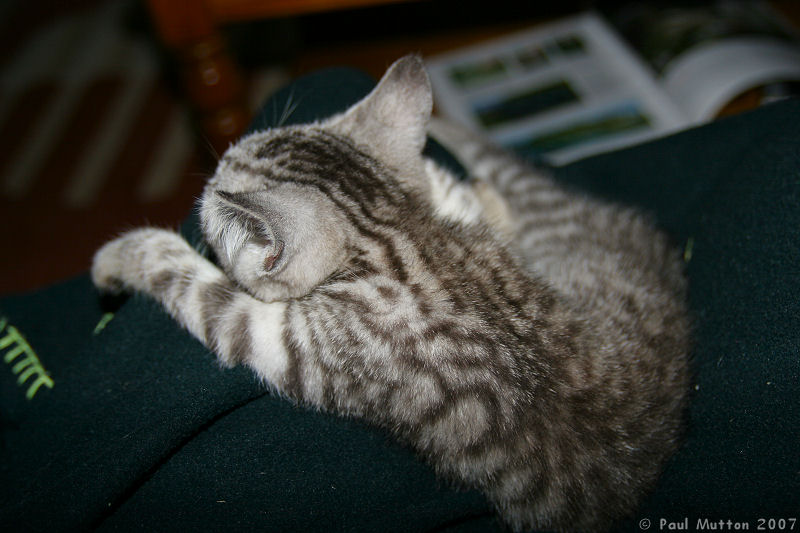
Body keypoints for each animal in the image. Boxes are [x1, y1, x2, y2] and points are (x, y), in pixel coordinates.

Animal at [94, 56, 692, 528]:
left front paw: (117, 257)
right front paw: (457, 185)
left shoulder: (282, 337)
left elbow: (183, 277)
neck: (395, 236)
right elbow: (452, 192)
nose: (207, 182)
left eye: (219, 180)